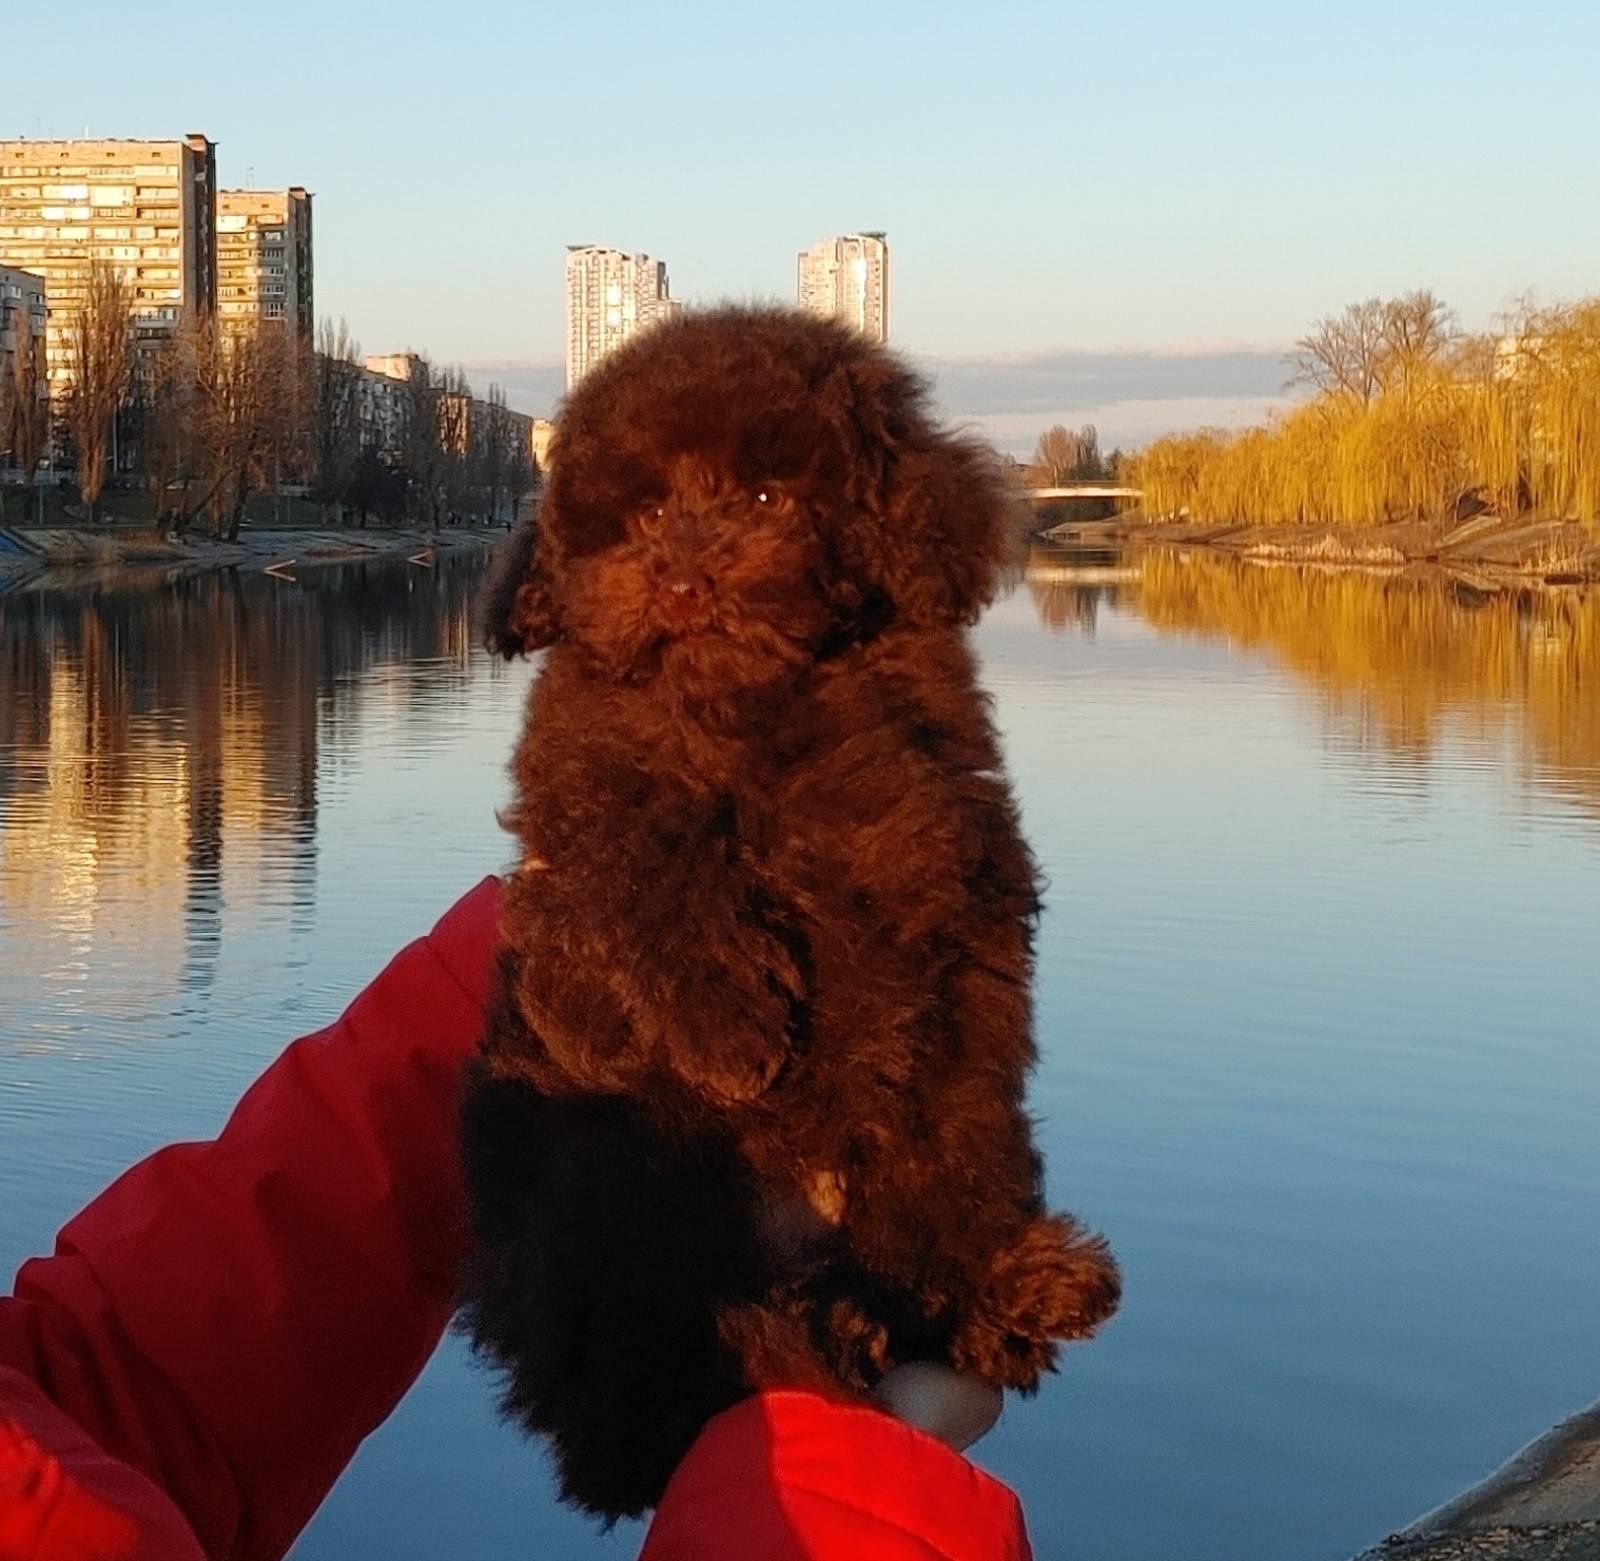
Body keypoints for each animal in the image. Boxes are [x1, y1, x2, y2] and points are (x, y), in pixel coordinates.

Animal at [460, 299, 1113, 1516]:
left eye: (766, 499)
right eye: (648, 513)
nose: (678, 581)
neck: (741, 708)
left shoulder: (927, 805)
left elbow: (886, 886)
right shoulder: (582, 780)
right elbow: (646, 853)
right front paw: (730, 1029)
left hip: (956, 1136)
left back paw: (1011, 1289)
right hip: (595, 1190)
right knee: (645, 1393)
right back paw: (819, 1339)